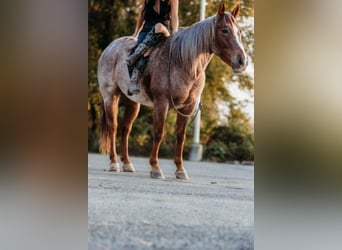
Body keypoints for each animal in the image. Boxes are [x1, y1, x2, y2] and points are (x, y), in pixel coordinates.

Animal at [97, 2, 247, 180]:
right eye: (224, 30)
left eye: (239, 32)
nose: (242, 61)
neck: (183, 62)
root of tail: (110, 48)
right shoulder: (161, 103)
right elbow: (158, 132)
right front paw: (155, 168)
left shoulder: (187, 107)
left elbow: (181, 136)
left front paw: (180, 169)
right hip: (110, 96)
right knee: (113, 127)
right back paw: (114, 163)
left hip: (132, 102)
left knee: (126, 129)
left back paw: (127, 164)